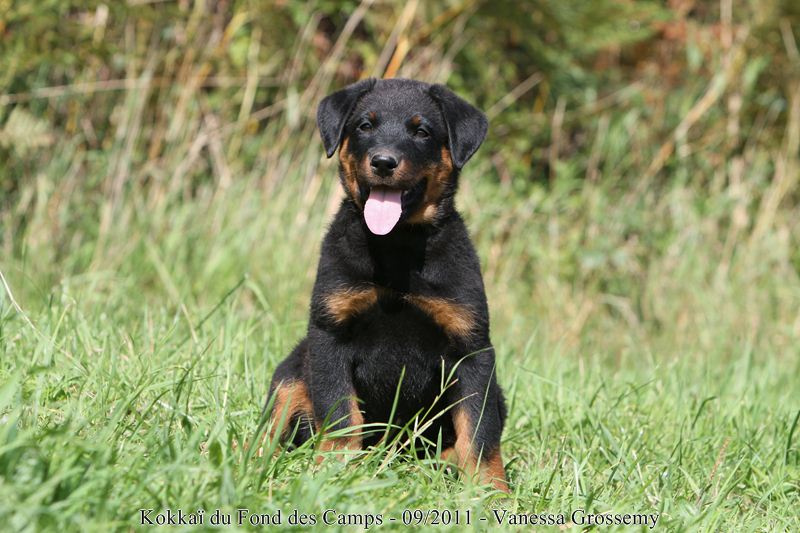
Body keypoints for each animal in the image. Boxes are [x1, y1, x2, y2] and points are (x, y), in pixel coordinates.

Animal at [267, 78, 508, 492]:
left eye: (422, 131)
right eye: (365, 125)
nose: (383, 161)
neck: (395, 248)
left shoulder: (471, 348)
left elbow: (479, 430)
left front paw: (492, 491)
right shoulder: (329, 335)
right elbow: (341, 416)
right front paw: (333, 471)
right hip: (293, 369)